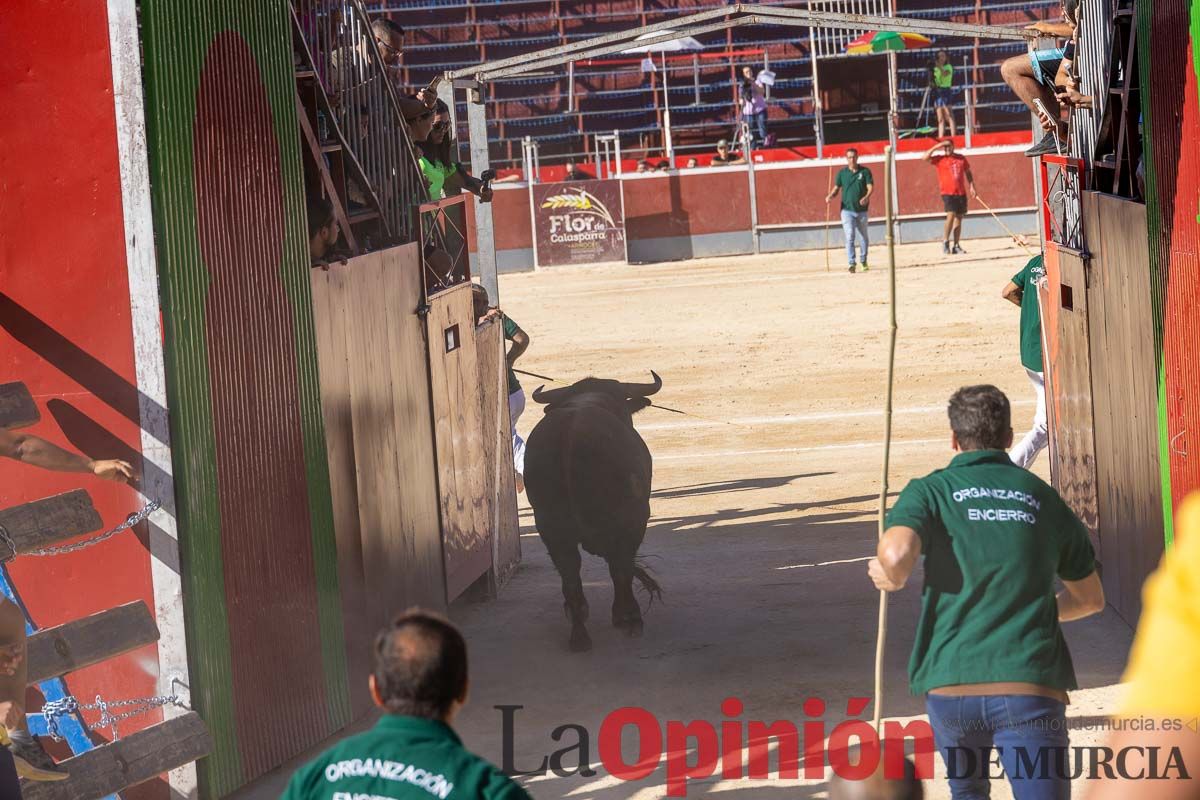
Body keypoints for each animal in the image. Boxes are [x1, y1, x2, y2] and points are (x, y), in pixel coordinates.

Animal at [528, 371, 667, 652]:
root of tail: (569, 435)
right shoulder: (633, 521)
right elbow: (622, 567)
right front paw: (626, 616)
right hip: (626, 519)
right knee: (617, 566)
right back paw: (627, 619)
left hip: (550, 526)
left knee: (570, 571)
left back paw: (579, 634)